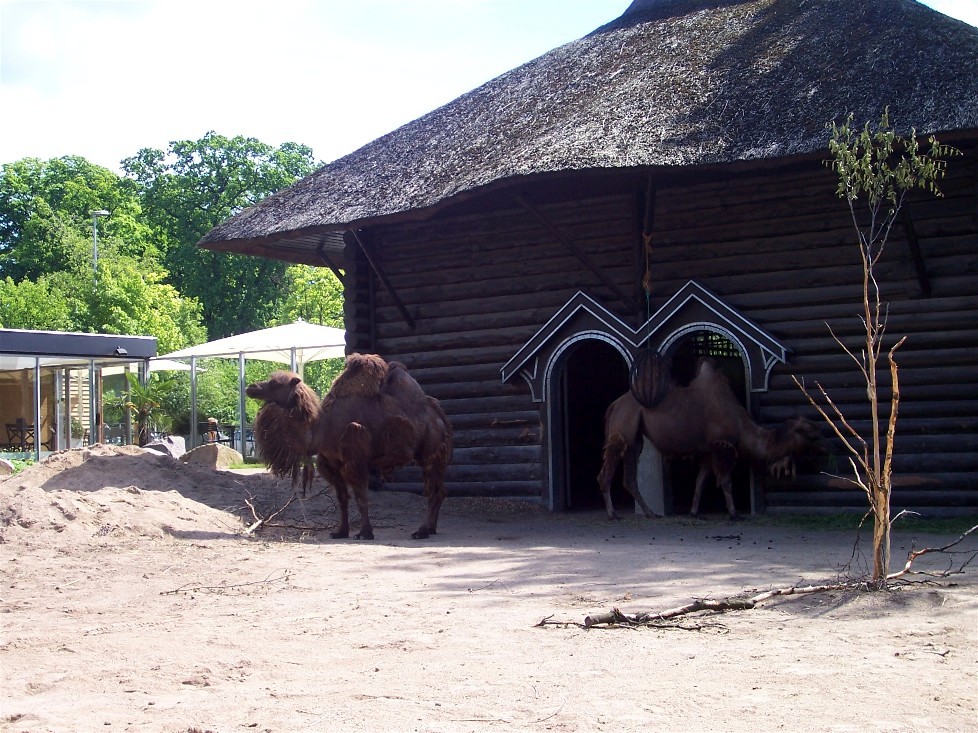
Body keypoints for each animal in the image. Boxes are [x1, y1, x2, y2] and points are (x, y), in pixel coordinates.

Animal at [312, 353, 453, 540]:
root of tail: (439, 415)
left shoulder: (355, 461)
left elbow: (361, 498)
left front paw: (365, 533)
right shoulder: (331, 464)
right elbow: (342, 498)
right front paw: (340, 532)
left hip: (431, 456)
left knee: (433, 492)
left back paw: (421, 531)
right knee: (440, 491)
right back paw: (430, 529)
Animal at [597, 357, 820, 520]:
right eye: (809, 434)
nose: (824, 442)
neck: (740, 422)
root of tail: (614, 405)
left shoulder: (707, 449)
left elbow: (701, 481)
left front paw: (694, 512)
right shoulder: (721, 445)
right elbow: (726, 481)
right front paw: (735, 514)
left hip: (635, 437)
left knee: (630, 475)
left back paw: (651, 513)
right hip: (623, 426)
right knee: (607, 470)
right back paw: (613, 514)